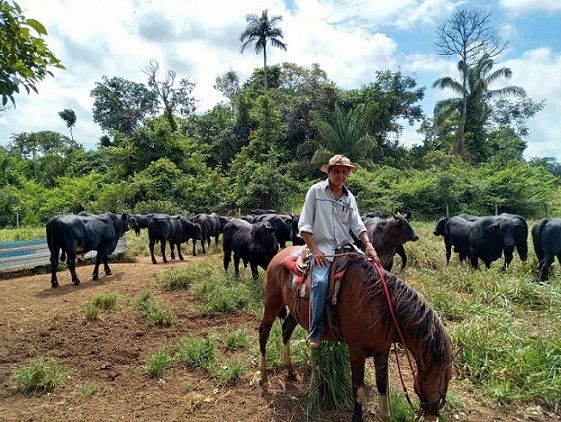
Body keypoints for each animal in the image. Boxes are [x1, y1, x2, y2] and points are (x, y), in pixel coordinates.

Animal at [258, 246, 456, 420]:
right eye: (446, 377)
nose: (432, 415)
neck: (381, 306)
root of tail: (280, 254)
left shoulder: (382, 350)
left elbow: (382, 385)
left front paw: (385, 416)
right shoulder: (356, 351)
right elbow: (358, 390)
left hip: (295, 312)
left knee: (286, 331)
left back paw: (290, 370)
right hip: (272, 302)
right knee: (263, 334)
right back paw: (263, 377)